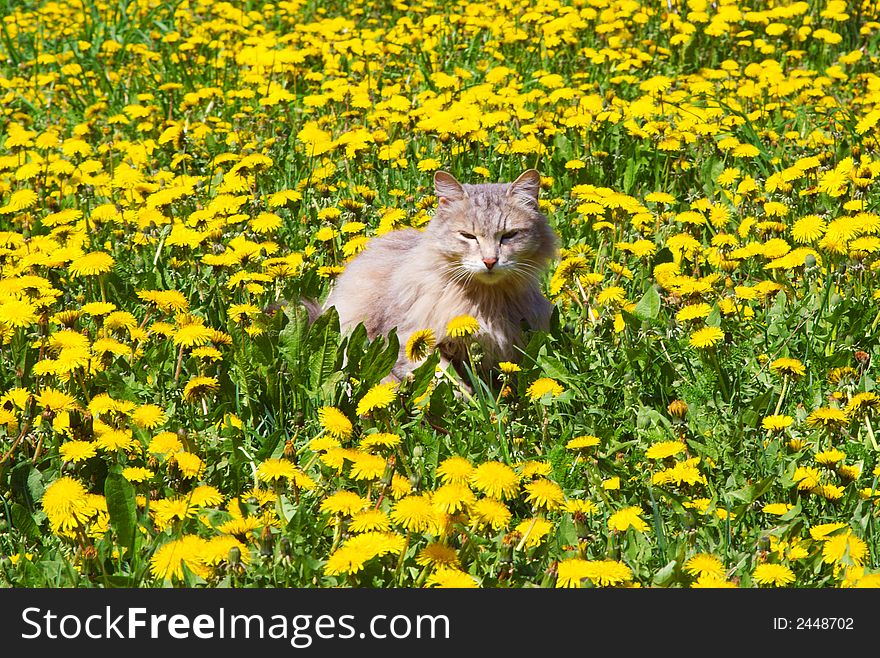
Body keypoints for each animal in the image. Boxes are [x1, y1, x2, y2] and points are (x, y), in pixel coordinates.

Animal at [322, 169, 556, 380]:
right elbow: (442, 378)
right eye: (468, 236)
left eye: (509, 235)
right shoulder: (406, 342)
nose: (490, 261)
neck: (486, 301)